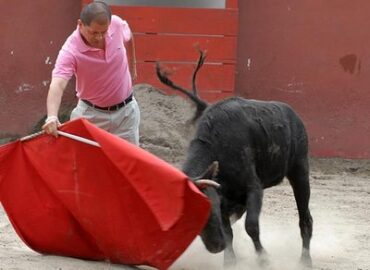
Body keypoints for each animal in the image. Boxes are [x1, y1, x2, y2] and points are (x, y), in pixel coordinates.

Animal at [184, 97, 314, 266]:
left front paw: (264, 259)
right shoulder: (223, 198)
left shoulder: (253, 188)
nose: (217, 246)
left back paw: (305, 260)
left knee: (305, 218)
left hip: (299, 170)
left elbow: (251, 226)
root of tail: (294, 115)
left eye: (209, 207)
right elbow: (228, 233)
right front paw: (230, 263)